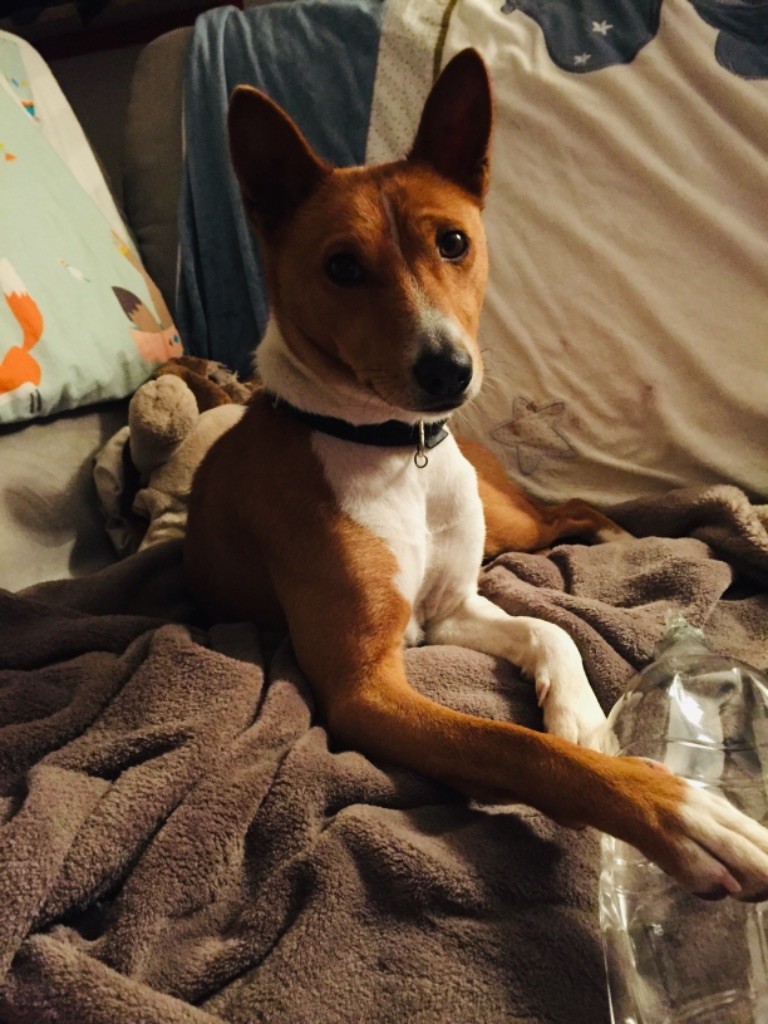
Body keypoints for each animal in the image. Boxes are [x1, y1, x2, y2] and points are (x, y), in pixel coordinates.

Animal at [185, 49, 768, 900]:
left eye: (454, 241)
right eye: (341, 266)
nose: (447, 371)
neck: (401, 457)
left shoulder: (454, 603)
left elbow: (552, 630)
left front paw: (582, 717)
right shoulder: (372, 679)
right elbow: (522, 748)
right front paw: (681, 813)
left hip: (509, 524)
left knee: (567, 507)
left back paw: (615, 535)